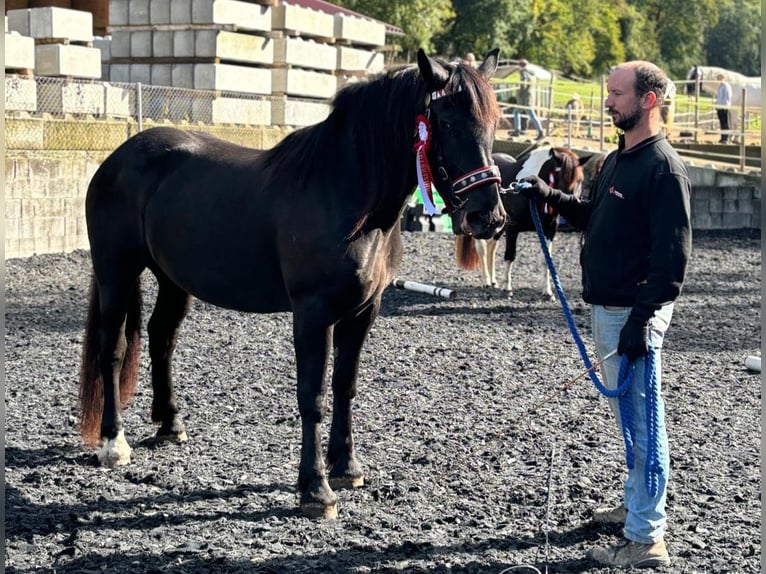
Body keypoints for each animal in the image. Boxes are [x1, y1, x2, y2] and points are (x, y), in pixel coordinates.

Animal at [79, 49, 510, 520]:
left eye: (493, 122)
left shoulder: (363, 312)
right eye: (446, 121)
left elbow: (345, 386)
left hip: (173, 279)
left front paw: (347, 468)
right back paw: (113, 443)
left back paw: (171, 425)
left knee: (161, 337)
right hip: (116, 271)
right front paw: (316, 490)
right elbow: (313, 395)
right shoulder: (313, 313)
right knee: (113, 347)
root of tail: (116, 158)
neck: (347, 197)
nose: (488, 217)